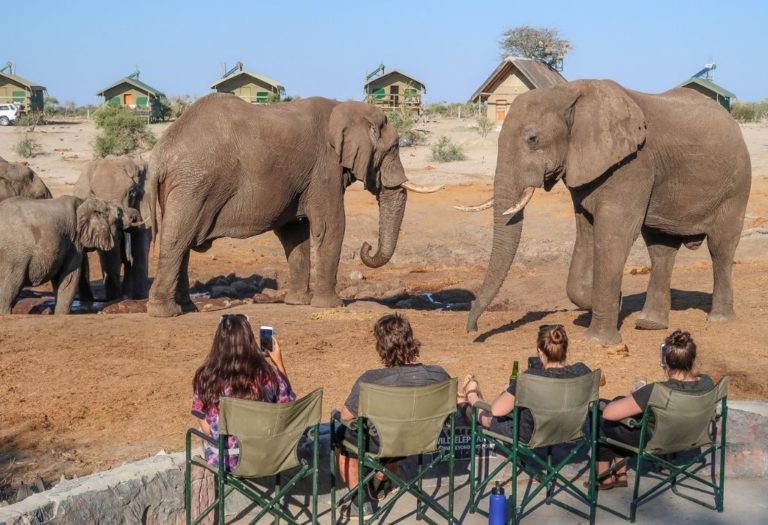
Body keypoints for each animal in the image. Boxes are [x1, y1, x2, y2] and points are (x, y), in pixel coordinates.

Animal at [0, 194, 141, 314]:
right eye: (119, 214)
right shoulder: (73, 242)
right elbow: (70, 277)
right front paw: (61, 315)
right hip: (14, 257)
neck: (84, 200)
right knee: (10, 287)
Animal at [75, 155, 152, 298]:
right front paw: (114, 298)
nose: (133, 216)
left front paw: (140, 298)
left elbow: (141, 239)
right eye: (92, 193)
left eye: (131, 192)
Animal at [147, 93, 440, 316]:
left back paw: (187, 308)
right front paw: (332, 305)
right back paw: (165, 312)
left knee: (182, 243)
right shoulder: (325, 167)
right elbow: (331, 225)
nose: (366, 246)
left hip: (183, 188)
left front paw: (298, 302)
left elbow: (295, 232)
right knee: (178, 239)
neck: (347, 107)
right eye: (394, 148)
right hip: (193, 185)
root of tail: (159, 154)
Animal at [462, 80, 752, 346]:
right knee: (661, 250)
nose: (473, 331)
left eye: (532, 139)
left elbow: (613, 235)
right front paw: (612, 301)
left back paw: (719, 319)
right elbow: (586, 232)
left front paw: (599, 340)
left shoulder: (633, 163)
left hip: (736, 185)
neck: (569, 92)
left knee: (720, 248)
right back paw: (649, 324)